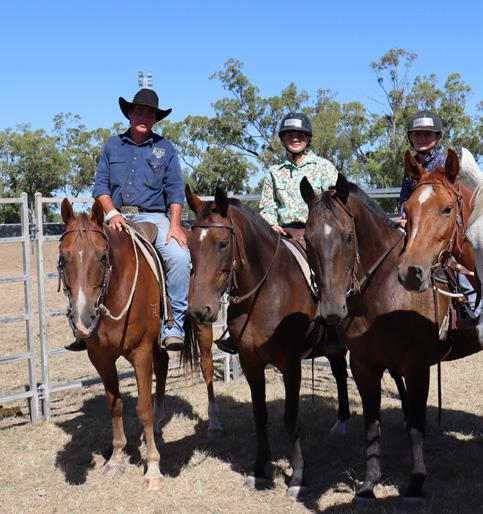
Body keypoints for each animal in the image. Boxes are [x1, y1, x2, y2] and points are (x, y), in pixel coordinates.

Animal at [58, 198, 221, 491]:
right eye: (63, 259)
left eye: (102, 256)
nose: (83, 320)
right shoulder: (100, 358)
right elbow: (115, 405)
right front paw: (116, 458)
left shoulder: (140, 353)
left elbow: (142, 409)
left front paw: (153, 468)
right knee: (164, 367)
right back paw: (156, 426)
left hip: (203, 324)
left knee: (206, 367)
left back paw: (213, 423)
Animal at [185, 185, 352, 499]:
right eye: (189, 244)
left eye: (222, 244)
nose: (200, 310)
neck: (267, 291)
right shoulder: (251, 362)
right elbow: (259, 414)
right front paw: (260, 470)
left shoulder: (290, 364)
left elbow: (290, 417)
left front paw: (298, 477)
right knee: (338, 371)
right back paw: (341, 423)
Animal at [300, 172, 481, 506]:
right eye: (307, 239)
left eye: (348, 236)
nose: (332, 309)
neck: (384, 295)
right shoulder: (363, 366)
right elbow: (372, 425)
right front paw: (368, 484)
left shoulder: (417, 368)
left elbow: (416, 427)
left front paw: (416, 484)